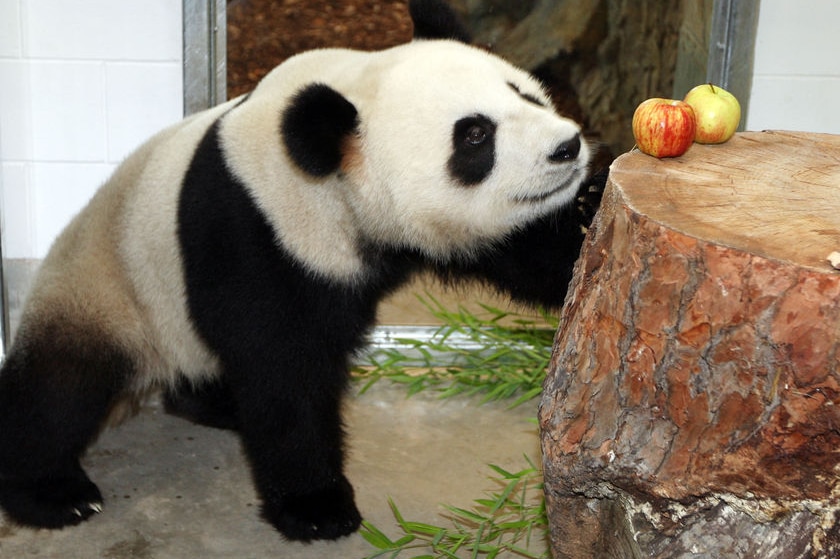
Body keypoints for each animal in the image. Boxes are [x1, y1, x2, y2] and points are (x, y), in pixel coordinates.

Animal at [0, 0, 592, 544]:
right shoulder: (254, 227)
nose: (567, 146)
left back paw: (216, 402)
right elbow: (282, 366)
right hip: (108, 286)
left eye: (524, 93)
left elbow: (543, 255)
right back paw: (54, 495)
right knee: (60, 389)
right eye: (474, 136)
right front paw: (317, 508)